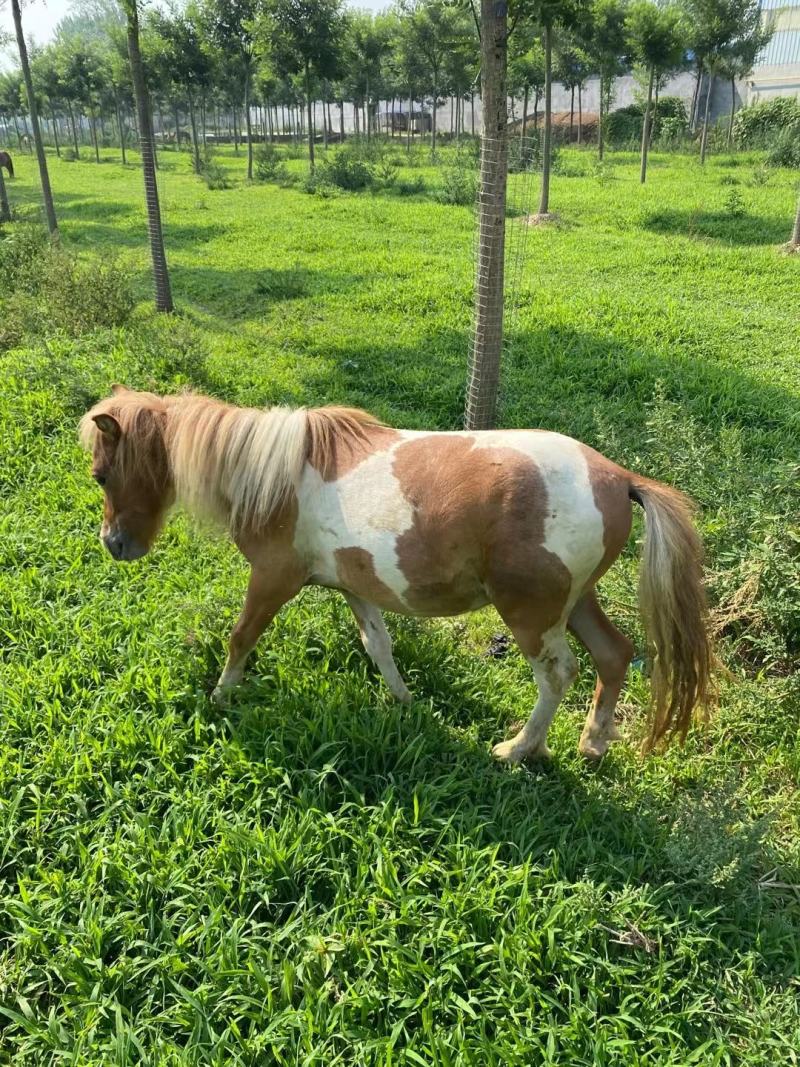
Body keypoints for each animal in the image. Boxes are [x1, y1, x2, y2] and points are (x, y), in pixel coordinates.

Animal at [80, 387, 713, 762]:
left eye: (102, 474)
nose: (114, 545)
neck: (272, 472)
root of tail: (618, 478)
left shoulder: (272, 579)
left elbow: (241, 638)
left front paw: (221, 695)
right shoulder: (353, 587)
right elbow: (377, 645)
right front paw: (405, 702)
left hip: (532, 615)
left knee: (559, 673)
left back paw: (517, 749)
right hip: (576, 602)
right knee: (613, 656)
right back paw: (593, 743)